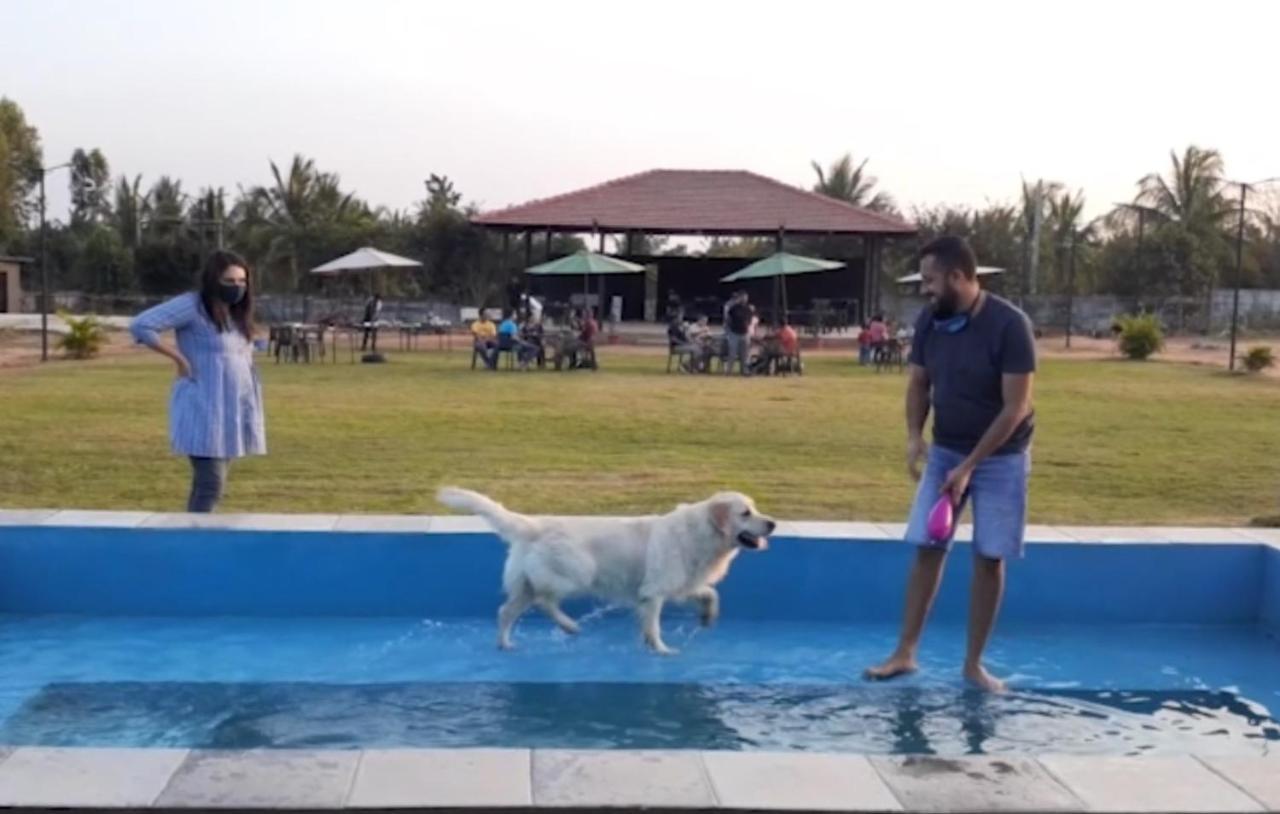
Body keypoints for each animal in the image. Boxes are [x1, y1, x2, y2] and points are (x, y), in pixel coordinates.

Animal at [435, 486, 773, 652]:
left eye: (755, 509)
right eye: (745, 513)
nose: (772, 523)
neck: (703, 532)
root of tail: (534, 525)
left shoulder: (681, 584)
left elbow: (710, 593)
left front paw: (707, 617)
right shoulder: (654, 592)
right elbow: (654, 626)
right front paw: (661, 650)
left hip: (525, 584)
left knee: (506, 611)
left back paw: (506, 644)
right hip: (576, 572)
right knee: (545, 602)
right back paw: (569, 625)